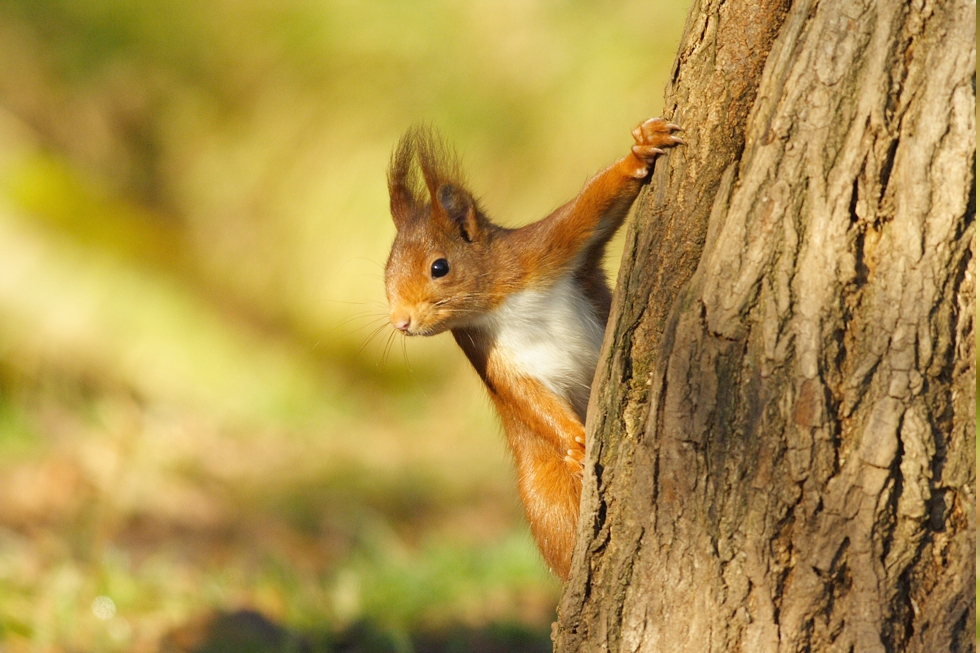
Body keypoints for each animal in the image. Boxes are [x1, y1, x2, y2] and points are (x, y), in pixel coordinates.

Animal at [382, 117, 680, 576]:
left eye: (439, 267)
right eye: (386, 272)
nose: (401, 322)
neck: (499, 303)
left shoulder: (543, 250)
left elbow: (590, 208)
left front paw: (641, 149)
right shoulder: (489, 353)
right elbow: (526, 397)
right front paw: (576, 441)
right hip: (545, 497)